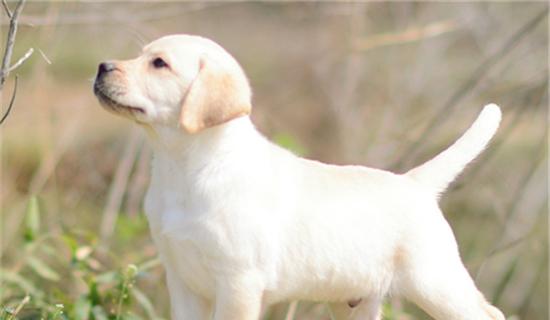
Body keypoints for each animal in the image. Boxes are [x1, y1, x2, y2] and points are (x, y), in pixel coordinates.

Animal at [92, 35, 506, 320]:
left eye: (159, 64)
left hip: (435, 282)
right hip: (355, 303)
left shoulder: (239, 283)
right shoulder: (182, 279)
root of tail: (415, 182)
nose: (102, 66)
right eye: (142, 55)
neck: (186, 166)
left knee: (491, 313)